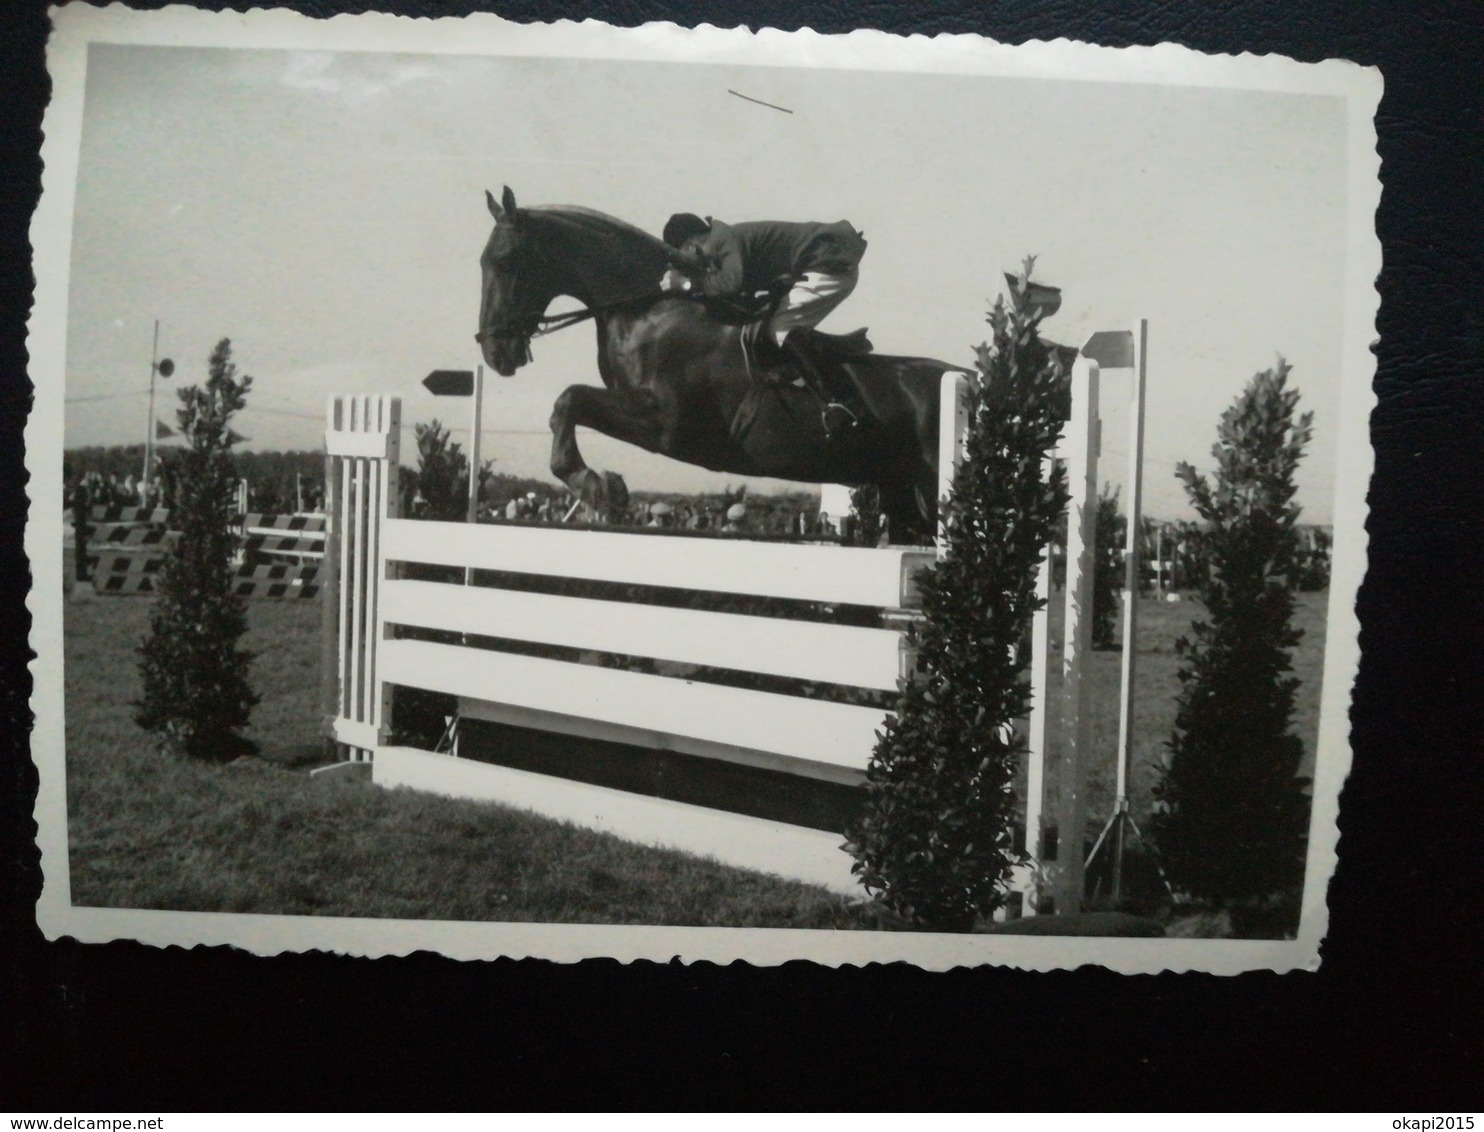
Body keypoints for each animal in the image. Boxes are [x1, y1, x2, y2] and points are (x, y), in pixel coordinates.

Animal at [468, 184, 967, 540]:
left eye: (506, 261)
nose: (495, 352)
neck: (648, 309)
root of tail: (968, 379)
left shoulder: (668, 424)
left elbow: (570, 400)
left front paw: (597, 487)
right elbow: (567, 406)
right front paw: (602, 485)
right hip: (902, 493)